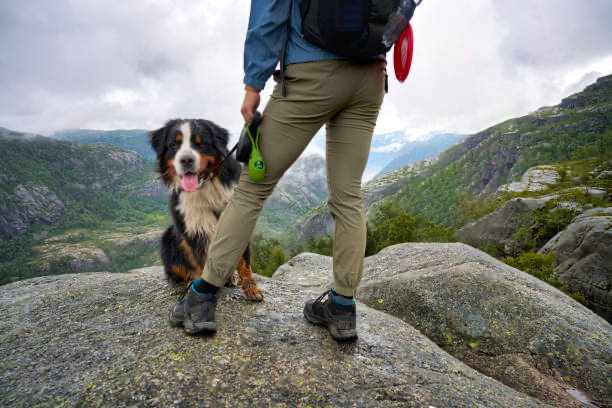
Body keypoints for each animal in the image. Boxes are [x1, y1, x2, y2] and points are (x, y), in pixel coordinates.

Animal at [150, 118, 262, 300]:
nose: (186, 160)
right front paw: (202, 289)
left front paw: (252, 288)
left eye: (200, 143)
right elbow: (199, 262)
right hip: (168, 239)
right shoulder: (192, 229)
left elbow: (245, 261)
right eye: (174, 144)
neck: (203, 189)